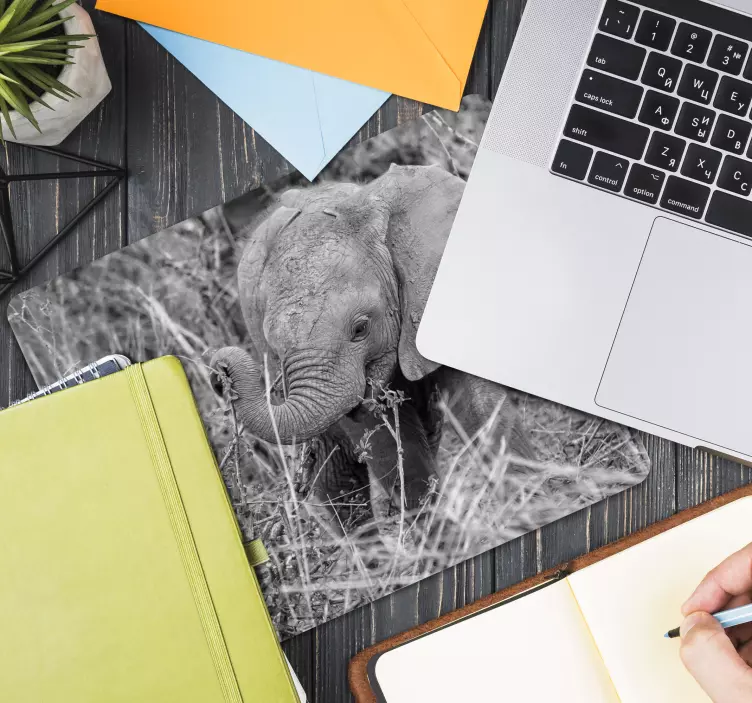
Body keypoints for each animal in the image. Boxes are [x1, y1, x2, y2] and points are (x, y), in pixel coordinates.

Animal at [212, 164, 535, 525]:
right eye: (275, 351)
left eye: (360, 329)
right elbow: (382, 437)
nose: (221, 370)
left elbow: (480, 405)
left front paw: (534, 506)